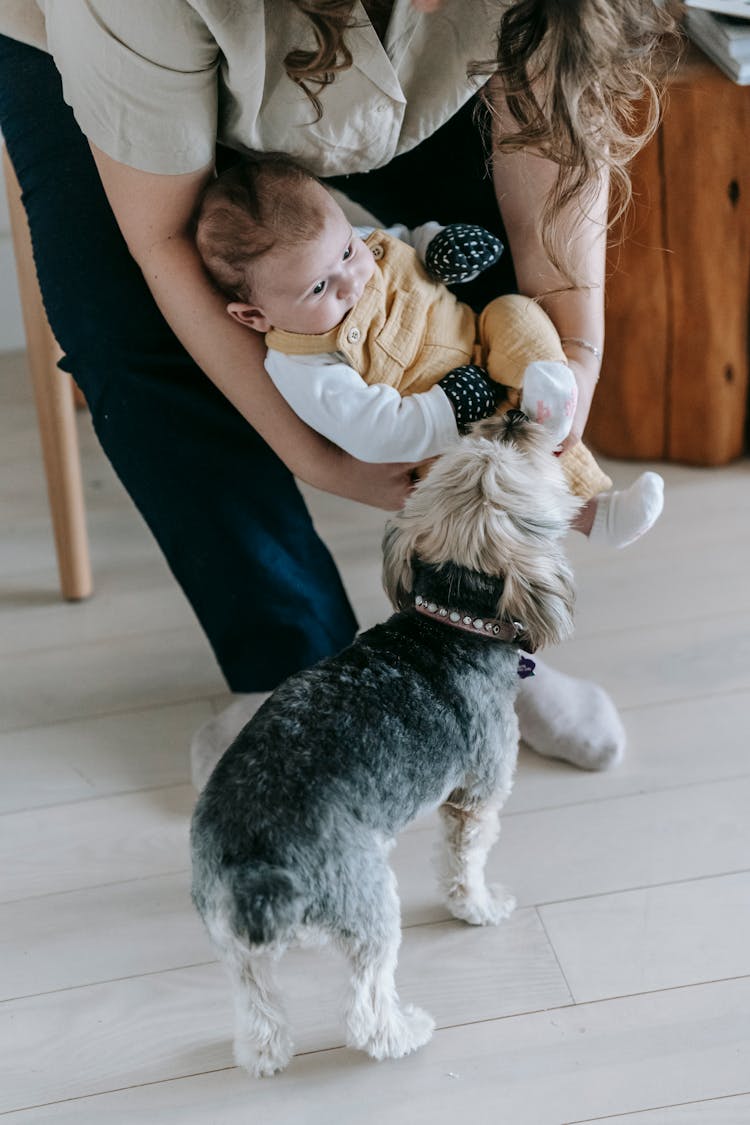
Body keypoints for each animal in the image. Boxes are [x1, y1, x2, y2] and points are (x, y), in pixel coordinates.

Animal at [188, 409, 580, 1075]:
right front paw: (480, 908)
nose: (512, 413)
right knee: (367, 1002)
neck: (448, 617)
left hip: (226, 933)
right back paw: (403, 1034)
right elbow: (465, 863)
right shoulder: (475, 796)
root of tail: (258, 867)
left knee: (256, 997)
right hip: (366, 903)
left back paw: (263, 1053)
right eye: (509, 448)